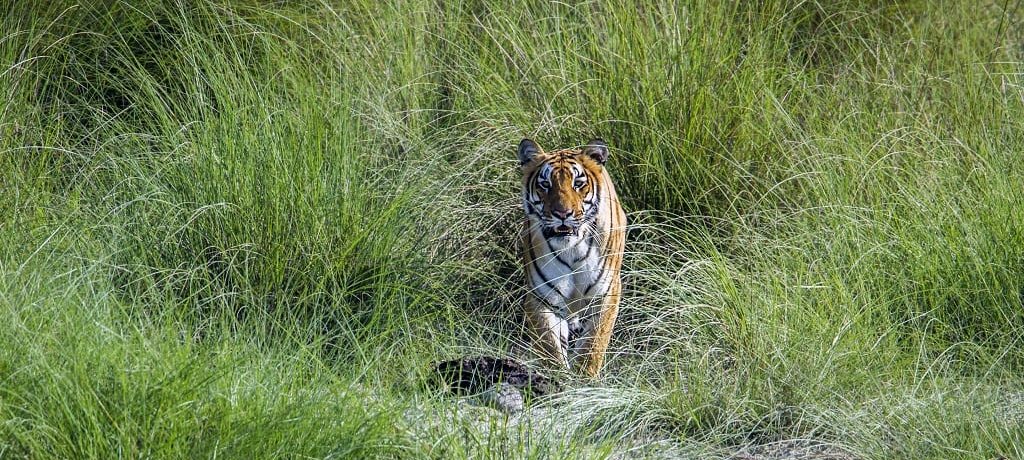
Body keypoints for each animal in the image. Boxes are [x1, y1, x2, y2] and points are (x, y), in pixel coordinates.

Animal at [516, 136, 626, 377]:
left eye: (578, 183)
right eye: (545, 185)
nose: (562, 214)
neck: (572, 249)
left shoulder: (606, 293)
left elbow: (593, 345)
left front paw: (586, 379)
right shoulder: (542, 298)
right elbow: (550, 347)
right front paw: (557, 379)